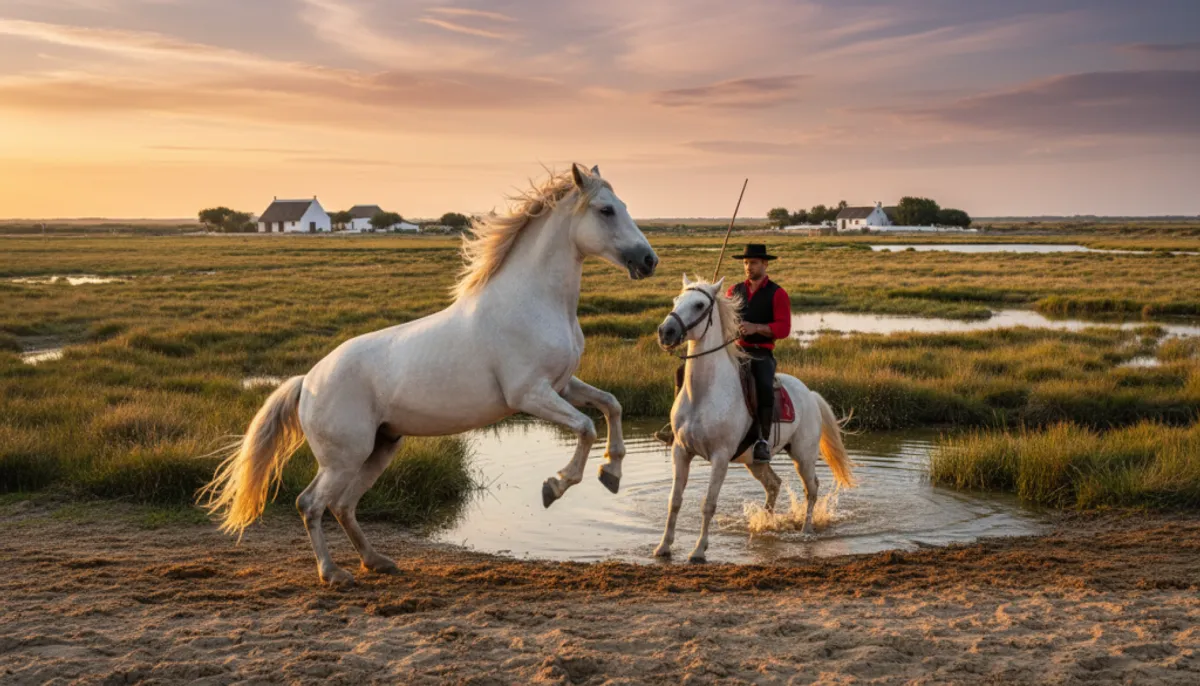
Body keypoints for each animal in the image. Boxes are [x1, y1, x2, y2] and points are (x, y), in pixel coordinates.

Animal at [199, 164, 658, 587]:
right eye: (605, 210)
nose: (649, 260)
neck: (534, 303)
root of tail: (307, 382)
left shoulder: (563, 385)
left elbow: (612, 406)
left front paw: (612, 474)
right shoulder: (530, 395)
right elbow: (585, 427)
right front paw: (556, 486)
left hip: (379, 449)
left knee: (342, 506)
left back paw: (377, 562)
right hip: (344, 457)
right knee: (310, 503)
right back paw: (333, 573)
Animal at [652, 275, 855, 563]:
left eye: (700, 304)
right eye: (676, 300)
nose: (665, 332)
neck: (703, 393)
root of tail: (810, 394)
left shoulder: (720, 456)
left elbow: (708, 504)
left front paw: (699, 551)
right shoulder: (681, 451)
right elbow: (674, 500)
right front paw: (663, 547)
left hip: (803, 456)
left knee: (812, 488)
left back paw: (806, 530)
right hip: (755, 461)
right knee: (774, 485)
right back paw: (767, 523)